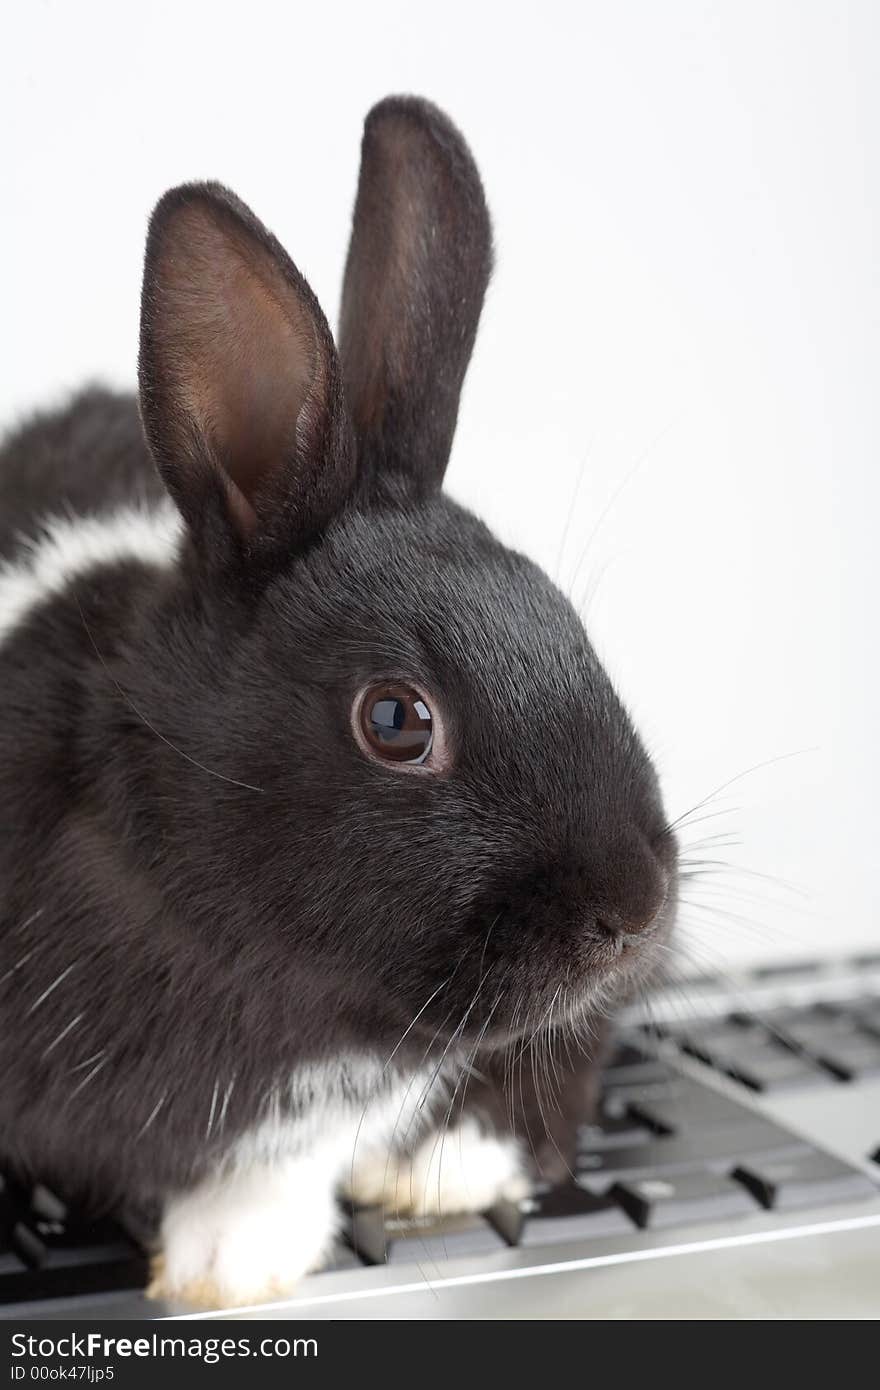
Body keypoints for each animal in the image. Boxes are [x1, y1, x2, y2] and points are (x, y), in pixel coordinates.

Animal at [0, 95, 672, 1301]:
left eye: (570, 623)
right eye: (397, 720)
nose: (634, 912)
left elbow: (287, 1166)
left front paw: (224, 1267)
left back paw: (442, 1171)